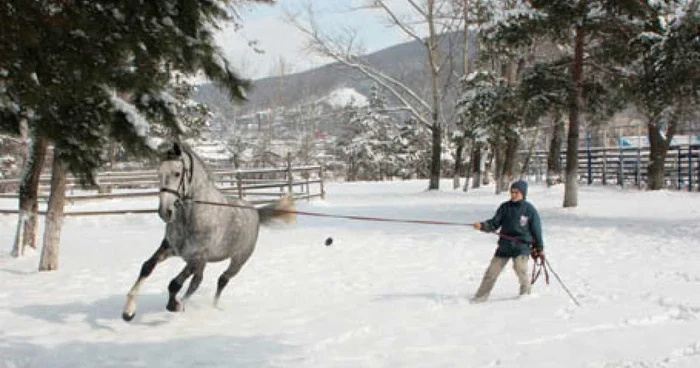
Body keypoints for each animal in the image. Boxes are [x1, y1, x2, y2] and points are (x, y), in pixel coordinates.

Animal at [123, 142, 292, 320]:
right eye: (159, 173)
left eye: (177, 173)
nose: (165, 212)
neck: (192, 216)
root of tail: (256, 212)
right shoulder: (170, 247)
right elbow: (147, 267)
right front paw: (128, 311)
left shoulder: (197, 257)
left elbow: (174, 283)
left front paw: (174, 305)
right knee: (197, 282)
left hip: (238, 260)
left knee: (221, 280)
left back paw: (210, 306)